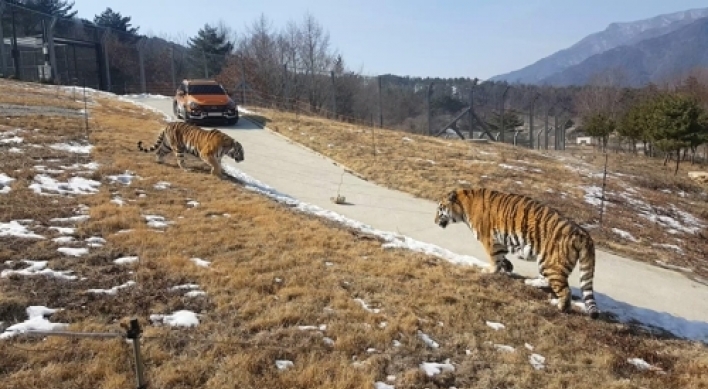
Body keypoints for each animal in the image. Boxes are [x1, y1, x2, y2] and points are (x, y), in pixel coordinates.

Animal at [434, 187, 600, 318]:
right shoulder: (500, 242)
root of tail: (583, 234)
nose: (435, 221)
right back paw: (531, 282)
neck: (464, 207)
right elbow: (501, 257)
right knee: (549, 281)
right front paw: (507, 267)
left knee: (565, 290)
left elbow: (494, 258)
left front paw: (490, 270)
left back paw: (560, 307)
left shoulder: (490, 239)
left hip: (551, 263)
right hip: (546, 263)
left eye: (440, 208)